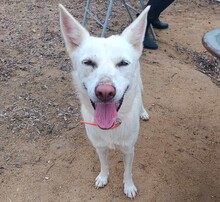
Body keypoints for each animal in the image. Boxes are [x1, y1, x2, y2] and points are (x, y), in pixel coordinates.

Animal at [58, 4, 150, 199]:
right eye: (88, 62)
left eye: (123, 63)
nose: (105, 92)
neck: (112, 126)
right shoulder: (99, 147)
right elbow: (104, 164)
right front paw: (103, 177)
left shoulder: (129, 150)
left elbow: (128, 171)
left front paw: (128, 186)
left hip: (140, 83)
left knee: (140, 97)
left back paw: (143, 112)